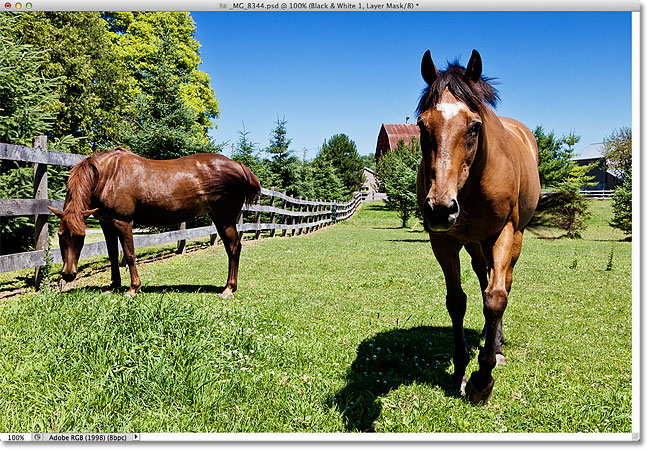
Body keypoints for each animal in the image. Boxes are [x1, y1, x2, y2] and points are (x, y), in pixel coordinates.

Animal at [48, 146, 260, 298]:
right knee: (232, 247)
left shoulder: (123, 222)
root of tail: (239, 166)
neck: (108, 175)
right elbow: (112, 255)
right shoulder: (106, 223)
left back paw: (229, 289)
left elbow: (129, 254)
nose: (68, 274)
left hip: (225, 217)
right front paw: (114, 285)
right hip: (218, 217)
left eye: (80, 236)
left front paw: (133, 288)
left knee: (233, 247)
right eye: (60, 235)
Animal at [416, 50, 540, 404]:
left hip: (512, 238)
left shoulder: (504, 233)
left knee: (502, 284)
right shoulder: (443, 241)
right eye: (422, 125)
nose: (440, 208)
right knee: (484, 277)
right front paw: (460, 370)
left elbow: (496, 298)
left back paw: (495, 344)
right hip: (475, 244)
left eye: (474, 126)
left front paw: (483, 379)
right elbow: (457, 301)